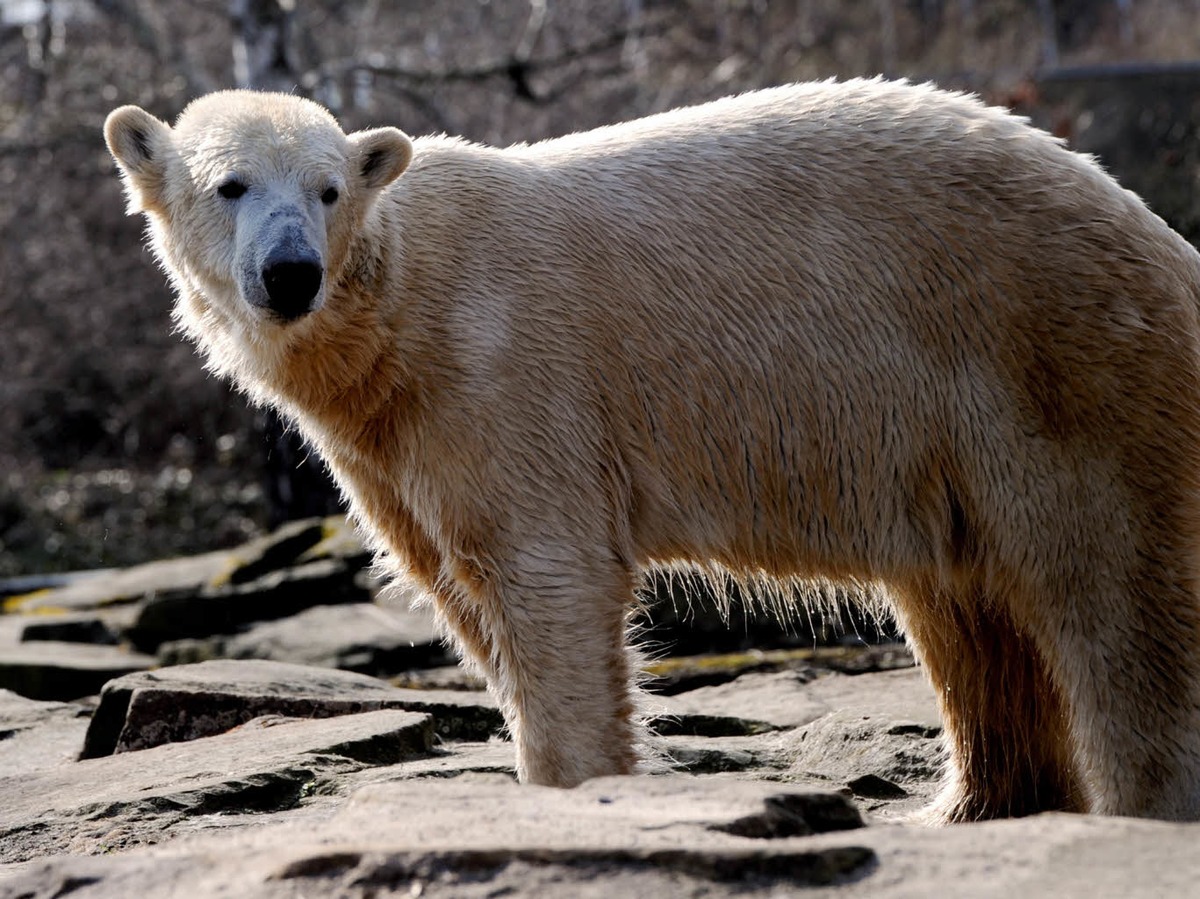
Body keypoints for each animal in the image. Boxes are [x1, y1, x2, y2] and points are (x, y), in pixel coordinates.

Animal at [100, 80, 1200, 825]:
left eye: (328, 190)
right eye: (230, 185)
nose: (291, 273)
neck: (396, 309)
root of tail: (1164, 243)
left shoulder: (502, 372)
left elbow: (548, 577)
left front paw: (576, 792)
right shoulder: (392, 441)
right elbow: (458, 585)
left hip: (1059, 365)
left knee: (1111, 599)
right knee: (968, 610)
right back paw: (969, 805)